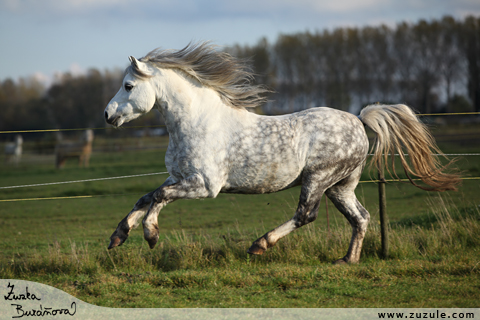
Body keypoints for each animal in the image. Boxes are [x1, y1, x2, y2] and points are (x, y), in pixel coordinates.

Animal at [104, 42, 458, 262]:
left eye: (128, 86)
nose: (108, 115)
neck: (196, 123)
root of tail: (359, 120)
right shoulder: (179, 176)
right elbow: (147, 196)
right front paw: (119, 235)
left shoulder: (204, 185)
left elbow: (159, 197)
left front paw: (150, 235)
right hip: (340, 186)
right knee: (361, 217)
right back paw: (347, 260)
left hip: (318, 177)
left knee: (306, 214)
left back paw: (260, 245)